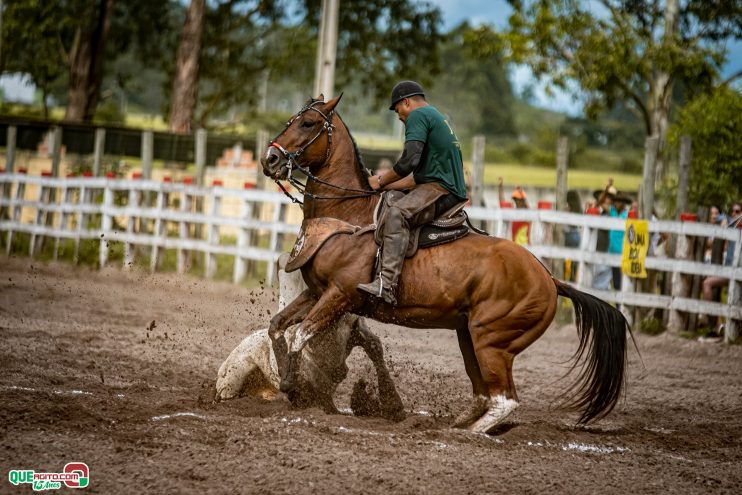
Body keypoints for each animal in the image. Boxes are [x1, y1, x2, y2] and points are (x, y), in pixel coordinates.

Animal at [262, 94, 632, 434]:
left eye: (308, 124)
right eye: (291, 120)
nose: (271, 158)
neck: (347, 215)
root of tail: (550, 279)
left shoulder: (340, 295)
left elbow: (301, 334)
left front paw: (294, 386)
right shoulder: (317, 293)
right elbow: (278, 326)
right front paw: (285, 380)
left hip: (491, 341)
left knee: (505, 399)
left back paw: (470, 433)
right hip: (468, 335)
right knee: (484, 394)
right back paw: (455, 423)